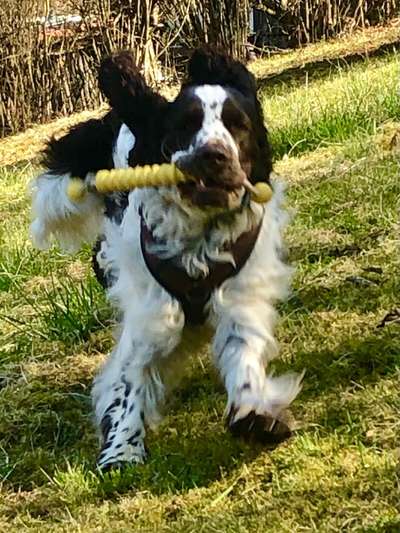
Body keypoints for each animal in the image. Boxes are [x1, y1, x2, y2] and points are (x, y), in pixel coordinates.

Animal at [31, 46, 304, 470]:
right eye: (186, 125)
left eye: (238, 125)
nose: (213, 155)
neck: (200, 239)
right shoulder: (151, 314)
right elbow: (130, 379)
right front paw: (122, 449)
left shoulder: (239, 297)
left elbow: (243, 353)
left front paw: (254, 412)